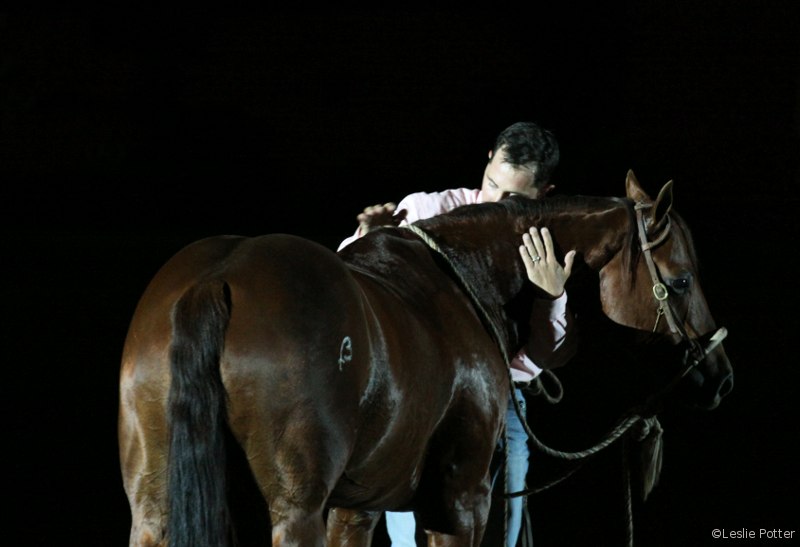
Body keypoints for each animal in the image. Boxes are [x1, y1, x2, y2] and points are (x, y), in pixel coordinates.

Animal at [117, 171, 732, 547]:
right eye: (680, 280)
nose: (720, 378)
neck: (465, 274)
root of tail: (219, 278)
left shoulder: (358, 506)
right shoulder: (460, 502)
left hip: (155, 503)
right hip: (297, 509)